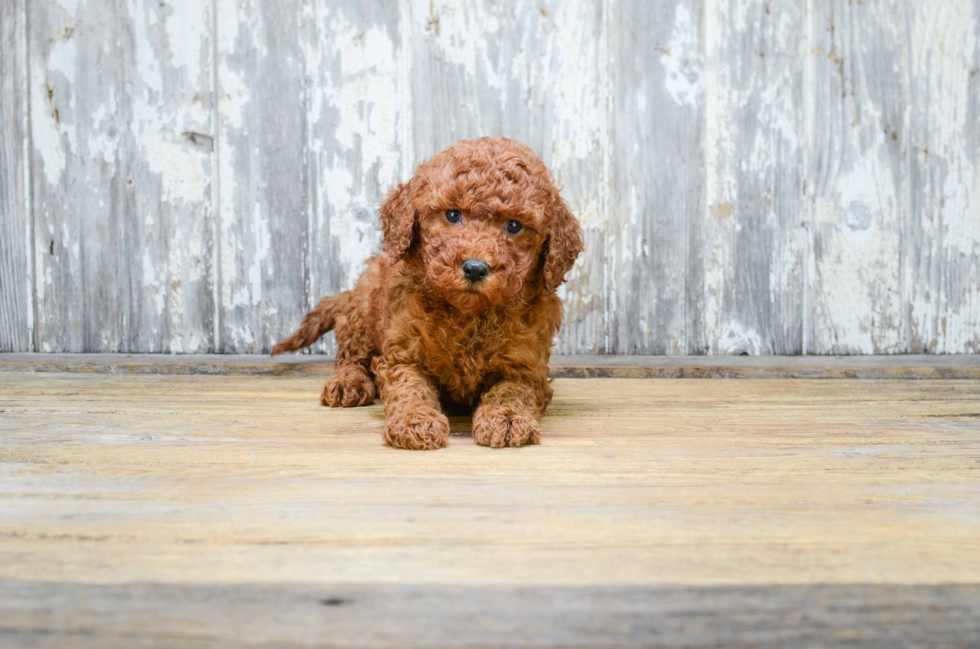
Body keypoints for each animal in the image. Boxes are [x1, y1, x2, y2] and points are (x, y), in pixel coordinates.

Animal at [270, 137, 580, 450]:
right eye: (453, 214)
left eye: (514, 225)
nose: (475, 268)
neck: (469, 313)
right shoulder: (401, 353)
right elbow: (410, 388)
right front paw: (414, 421)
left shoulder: (528, 366)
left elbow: (513, 389)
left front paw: (506, 418)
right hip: (364, 312)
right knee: (350, 356)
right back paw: (348, 383)